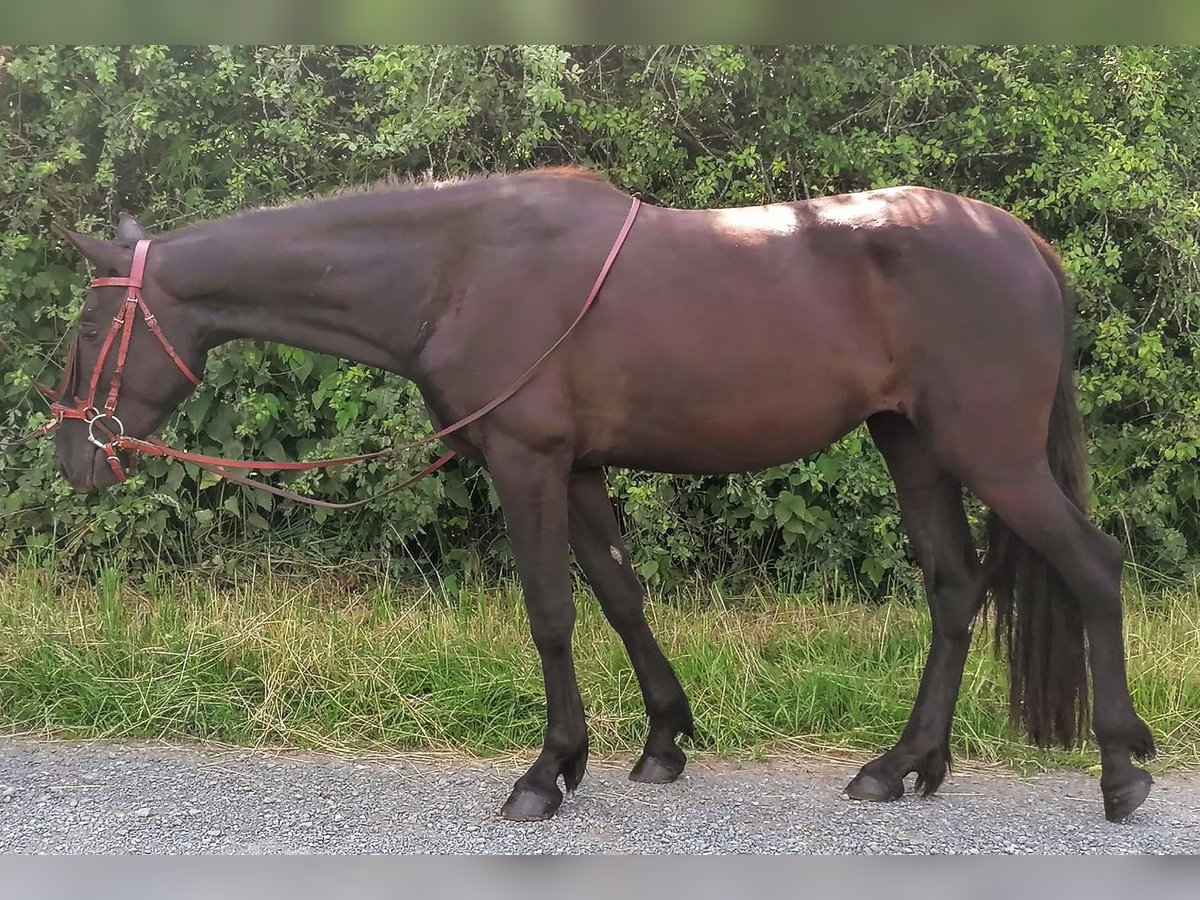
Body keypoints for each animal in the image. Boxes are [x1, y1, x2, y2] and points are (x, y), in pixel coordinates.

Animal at [46, 168, 1152, 825]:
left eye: (91, 333)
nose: (73, 456)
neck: (456, 269)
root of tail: (1024, 244)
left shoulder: (526, 461)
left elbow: (551, 613)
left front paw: (548, 771)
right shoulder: (575, 467)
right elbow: (620, 599)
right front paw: (661, 741)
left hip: (993, 455)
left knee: (1094, 568)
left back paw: (1121, 770)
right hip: (913, 447)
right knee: (955, 589)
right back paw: (905, 763)